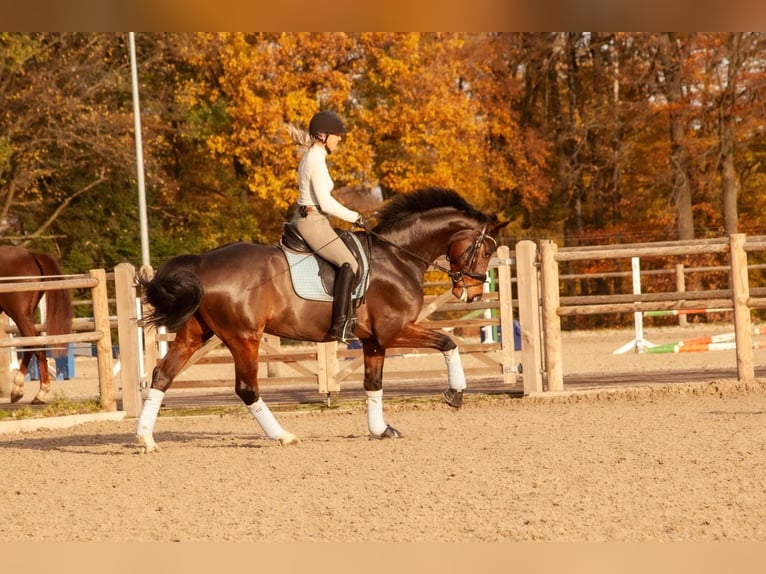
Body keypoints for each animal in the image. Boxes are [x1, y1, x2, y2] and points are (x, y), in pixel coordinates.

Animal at [0, 244, 73, 404]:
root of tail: (32, 255)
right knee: (30, 343)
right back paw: (17, 390)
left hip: (19, 314)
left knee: (36, 346)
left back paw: (41, 393)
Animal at [138, 187, 510, 452]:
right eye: (486, 250)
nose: (473, 293)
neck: (398, 256)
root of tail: (202, 262)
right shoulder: (394, 331)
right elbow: (448, 342)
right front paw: (455, 395)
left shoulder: (374, 341)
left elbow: (373, 384)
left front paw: (380, 429)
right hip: (244, 338)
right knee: (247, 388)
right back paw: (283, 435)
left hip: (195, 335)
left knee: (163, 374)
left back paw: (145, 439)